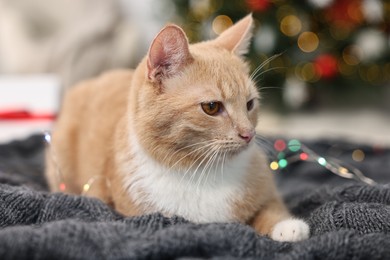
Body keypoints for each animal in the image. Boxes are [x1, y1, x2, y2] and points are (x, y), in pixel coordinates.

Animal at [45, 14, 310, 242]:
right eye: (212, 107)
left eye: (249, 104)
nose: (249, 134)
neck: (201, 171)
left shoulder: (266, 189)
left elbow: (271, 208)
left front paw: (287, 226)